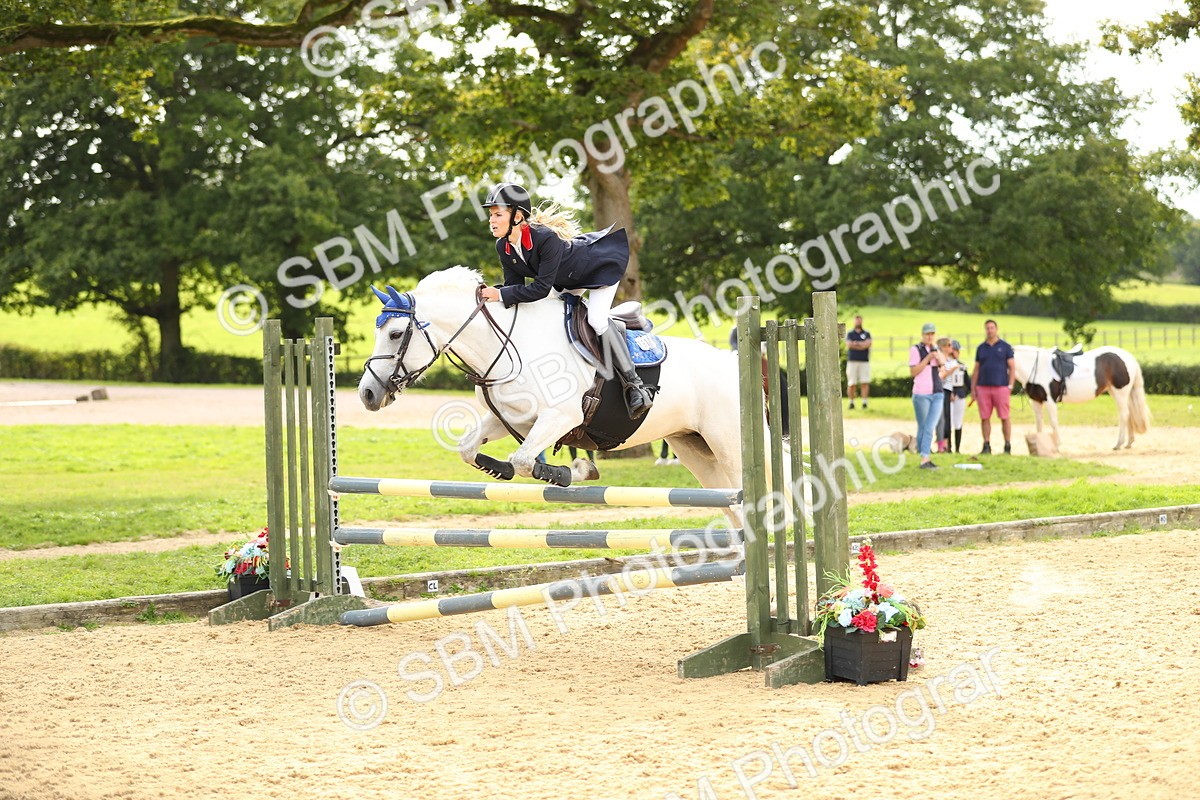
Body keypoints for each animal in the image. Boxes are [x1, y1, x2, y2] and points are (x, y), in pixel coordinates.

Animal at [355, 266, 803, 528]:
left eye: (396, 333)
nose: (367, 394)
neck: (509, 344)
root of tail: (734, 362)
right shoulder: (509, 419)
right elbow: (470, 450)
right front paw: (500, 469)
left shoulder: (561, 417)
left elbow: (525, 460)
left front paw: (573, 472)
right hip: (695, 450)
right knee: (733, 508)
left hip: (729, 443)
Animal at [1011, 344, 1151, 450]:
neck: (1036, 367)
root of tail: (1128, 357)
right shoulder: (1036, 401)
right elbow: (1039, 423)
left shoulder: (1050, 401)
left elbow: (1053, 422)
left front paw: (1057, 445)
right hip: (1116, 392)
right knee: (1129, 415)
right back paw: (1128, 443)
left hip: (1120, 392)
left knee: (1124, 415)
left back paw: (1118, 444)